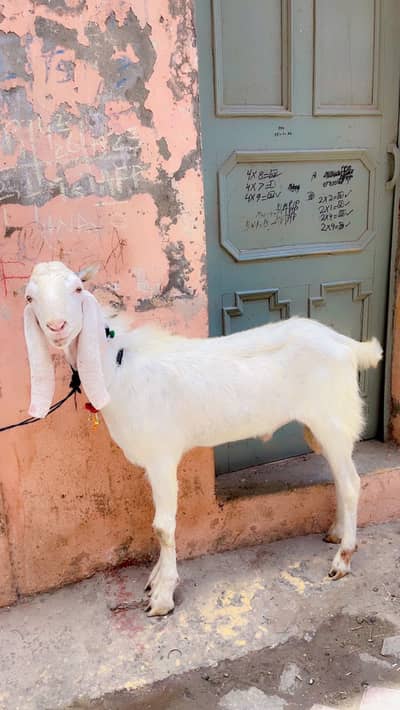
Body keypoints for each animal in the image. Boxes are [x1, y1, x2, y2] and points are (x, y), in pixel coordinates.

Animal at [23, 261, 382, 616]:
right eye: (30, 297)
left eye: (77, 288)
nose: (57, 326)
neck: (119, 366)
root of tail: (347, 344)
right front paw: (155, 579)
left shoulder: (161, 456)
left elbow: (162, 526)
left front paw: (162, 595)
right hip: (322, 427)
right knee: (340, 479)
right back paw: (337, 534)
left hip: (332, 417)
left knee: (352, 483)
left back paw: (343, 559)